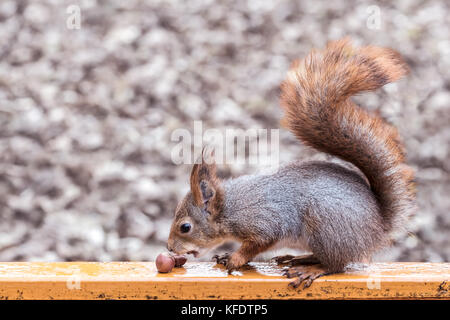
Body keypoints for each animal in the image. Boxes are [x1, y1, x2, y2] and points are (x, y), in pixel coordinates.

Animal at [167, 38, 416, 288]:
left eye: (185, 227)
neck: (230, 209)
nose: (169, 248)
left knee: (336, 265)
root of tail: (378, 228)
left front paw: (235, 258)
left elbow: (258, 244)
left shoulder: (264, 221)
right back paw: (300, 258)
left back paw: (311, 270)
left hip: (327, 230)